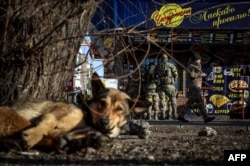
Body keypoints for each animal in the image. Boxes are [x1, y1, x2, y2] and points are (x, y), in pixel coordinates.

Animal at [0, 72, 150, 152]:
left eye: (119, 109)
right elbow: (46, 125)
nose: (104, 121)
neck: (88, 120)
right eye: (102, 103)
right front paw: (33, 135)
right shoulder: (54, 114)